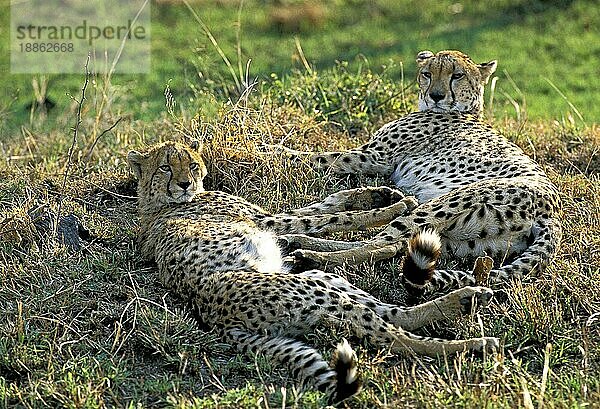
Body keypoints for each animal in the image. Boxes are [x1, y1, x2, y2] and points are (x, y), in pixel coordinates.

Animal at [129, 140, 500, 402]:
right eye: (165, 167)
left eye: (192, 165)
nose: (184, 184)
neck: (157, 204)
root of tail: (212, 319)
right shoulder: (269, 221)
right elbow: (332, 218)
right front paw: (394, 206)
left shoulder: (273, 219)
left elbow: (327, 204)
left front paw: (379, 194)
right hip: (314, 293)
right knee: (391, 336)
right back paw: (475, 345)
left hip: (319, 280)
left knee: (394, 314)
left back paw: (466, 297)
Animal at [290, 50, 564, 294]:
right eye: (427, 74)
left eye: (457, 75)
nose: (436, 96)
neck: (464, 112)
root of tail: (553, 211)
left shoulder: (374, 156)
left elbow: (306, 155)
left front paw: (279, 150)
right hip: (461, 241)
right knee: (395, 245)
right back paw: (301, 243)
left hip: (441, 205)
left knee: (380, 243)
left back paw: (308, 253)